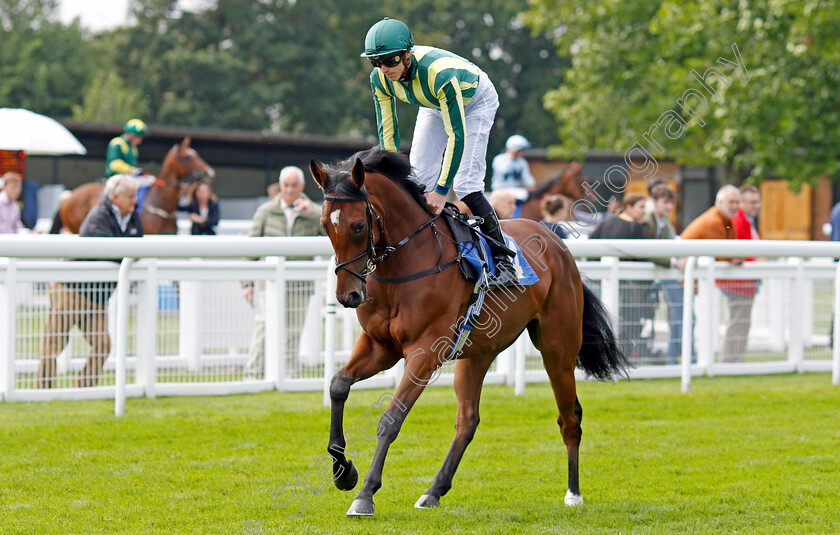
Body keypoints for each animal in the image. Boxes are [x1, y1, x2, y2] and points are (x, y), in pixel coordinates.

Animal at [306, 149, 624, 516]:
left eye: (358, 225)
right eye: (325, 225)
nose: (349, 295)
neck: (407, 263)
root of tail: (558, 244)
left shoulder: (426, 352)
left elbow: (391, 418)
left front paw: (366, 494)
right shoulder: (379, 346)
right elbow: (338, 386)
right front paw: (343, 472)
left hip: (558, 348)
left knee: (569, 416)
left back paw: (573, 493)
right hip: (478, 353)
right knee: (468, 420)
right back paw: (433, 491)